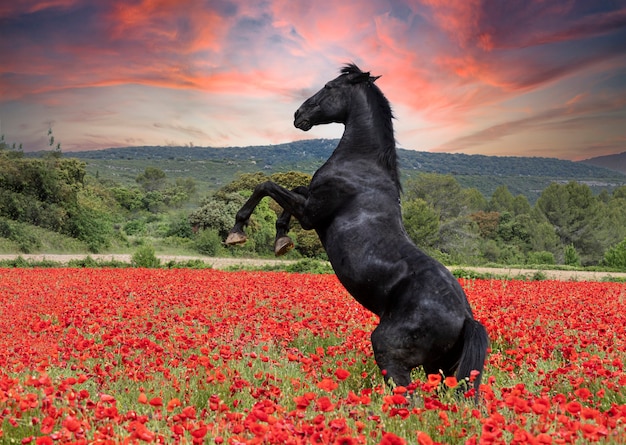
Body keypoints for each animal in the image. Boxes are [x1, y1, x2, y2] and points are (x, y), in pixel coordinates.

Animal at [224, 62, 488, 396]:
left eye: (329, 87)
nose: (298, 115)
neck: (362, 164)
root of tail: (466, 318)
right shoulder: (309, 203)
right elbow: (293, 188)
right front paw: (282, 240)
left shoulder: (310, 214)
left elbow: (266, 185)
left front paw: (238, 231)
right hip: (439, 371)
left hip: (390, 353)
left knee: (407, 397)